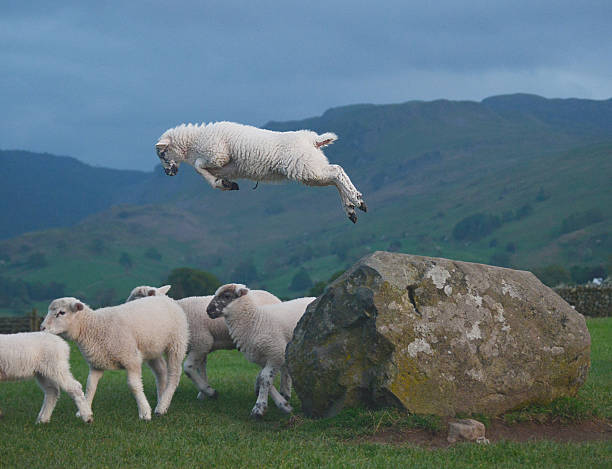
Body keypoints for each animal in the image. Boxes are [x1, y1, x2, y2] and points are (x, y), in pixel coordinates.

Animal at [41, 294, 189, 418]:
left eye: (61, 312)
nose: (42, 328)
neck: (94, 326)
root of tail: (166, 297)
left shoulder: (131, 359)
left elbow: (134, 386)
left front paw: (144, 412)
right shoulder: (96, 363)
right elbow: (90, 386)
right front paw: (85, 409)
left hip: (177, 343)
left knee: (174, 374)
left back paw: (162, 405)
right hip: (152, 349)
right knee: (161, 372)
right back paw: (161, 402)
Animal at [127, 286, 284, 398]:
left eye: (136, 299)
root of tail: (277, 299)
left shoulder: (202, 342)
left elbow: (188, 368)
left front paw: (210, 392)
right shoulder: (200, 348)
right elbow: (201, 369)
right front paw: (203, 393)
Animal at [155, 120, 370, 223]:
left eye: (162, 154)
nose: (168, 174)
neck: (194, 142)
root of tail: (312, 139)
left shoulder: (217, 154)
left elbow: (199, 167)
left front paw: (223, 184)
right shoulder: (224, 167)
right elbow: (204, 173)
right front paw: (226, 184)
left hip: (305, 167)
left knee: (336, 171)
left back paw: (356, 200)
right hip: (310, 166)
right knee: (335, 177)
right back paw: (351, 207)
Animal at [207, 284, 316, 418]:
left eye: (226, 296)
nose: (208, 310)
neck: (256, 320)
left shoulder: (276, 353)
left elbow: (264, 378)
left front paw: (259, 408)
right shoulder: (263, 358)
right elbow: (263, 379)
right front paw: (284, 405)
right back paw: (285, 394)